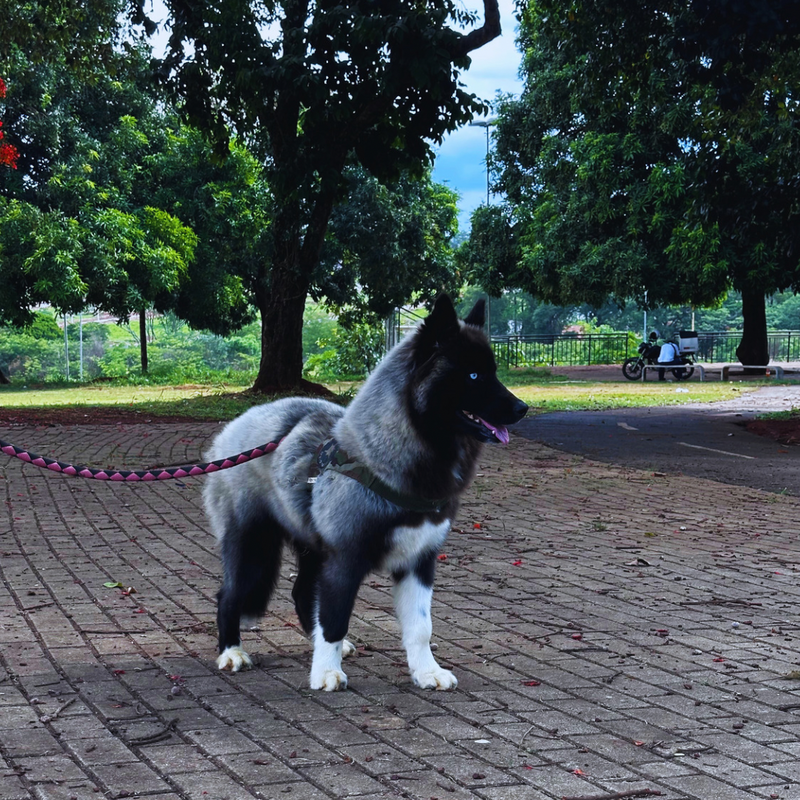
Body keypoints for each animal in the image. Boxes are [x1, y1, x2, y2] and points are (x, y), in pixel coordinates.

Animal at [203, 296, 528, 692]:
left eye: (491, 371)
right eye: (472, 376)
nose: (522, 408)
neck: (386, 456)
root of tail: (233, 429)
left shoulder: (418, 562)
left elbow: (420, 627)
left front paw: (426, 671)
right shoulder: (344, 559)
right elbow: (335, 618)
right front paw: (326, 672)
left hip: (310, 550)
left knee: (301, 594)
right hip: (254, 546)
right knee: (229, 594)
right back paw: (231, 651)